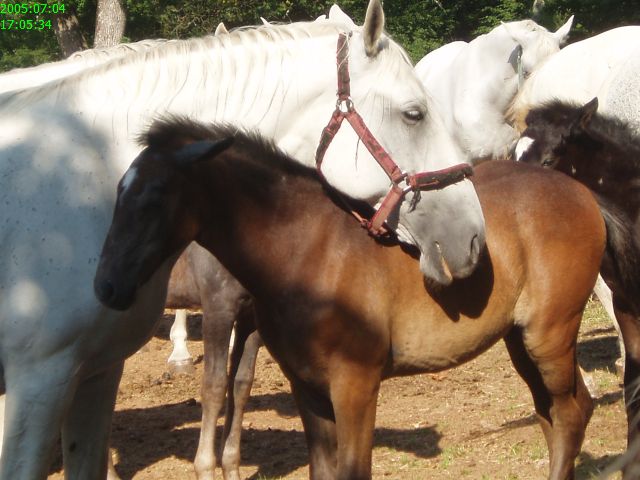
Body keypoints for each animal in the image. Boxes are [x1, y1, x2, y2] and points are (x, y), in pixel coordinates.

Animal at [0, 1, 488, 477]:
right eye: (414, 113)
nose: (472, 237)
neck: (79, 166)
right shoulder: (40, 382)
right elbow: (216, 385)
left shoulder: (99, 371)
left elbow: (237, 384)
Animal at [95, 118, 606, 480]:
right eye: (119, 191)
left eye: (155, 196)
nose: (106, 286)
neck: (306, 250)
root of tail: (582, 192)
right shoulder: (308, 387)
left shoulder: (356, 385)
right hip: (519, 341)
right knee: (550, 413)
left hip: (548, 335)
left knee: (571, 411)